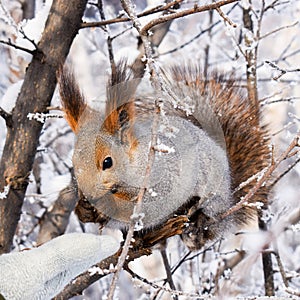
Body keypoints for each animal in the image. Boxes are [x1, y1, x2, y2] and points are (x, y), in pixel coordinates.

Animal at [58, 61, 270, 251]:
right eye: (73, 164)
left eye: (107, 162)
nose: (88, 195)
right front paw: (84, 210)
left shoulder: (164, 180)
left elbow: (144, 207)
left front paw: (105, 206)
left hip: (215, 197)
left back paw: (196, 227)